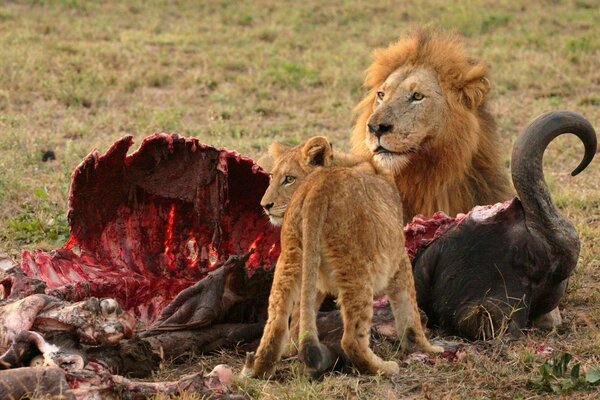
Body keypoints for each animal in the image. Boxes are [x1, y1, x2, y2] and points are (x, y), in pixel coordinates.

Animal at [241, 137, 442, 378]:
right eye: (273, 177)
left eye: (288, 179)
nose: (264, 205)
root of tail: (319, 186)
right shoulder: (398, 257)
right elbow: (409, 309)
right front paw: (425, 348)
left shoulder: (315, 275)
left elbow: (301, 315)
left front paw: (292, 349)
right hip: (356, 267)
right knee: (352, 340)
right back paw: (383, 367)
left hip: (291, 257)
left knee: (276, 322)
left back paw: (259, 368)